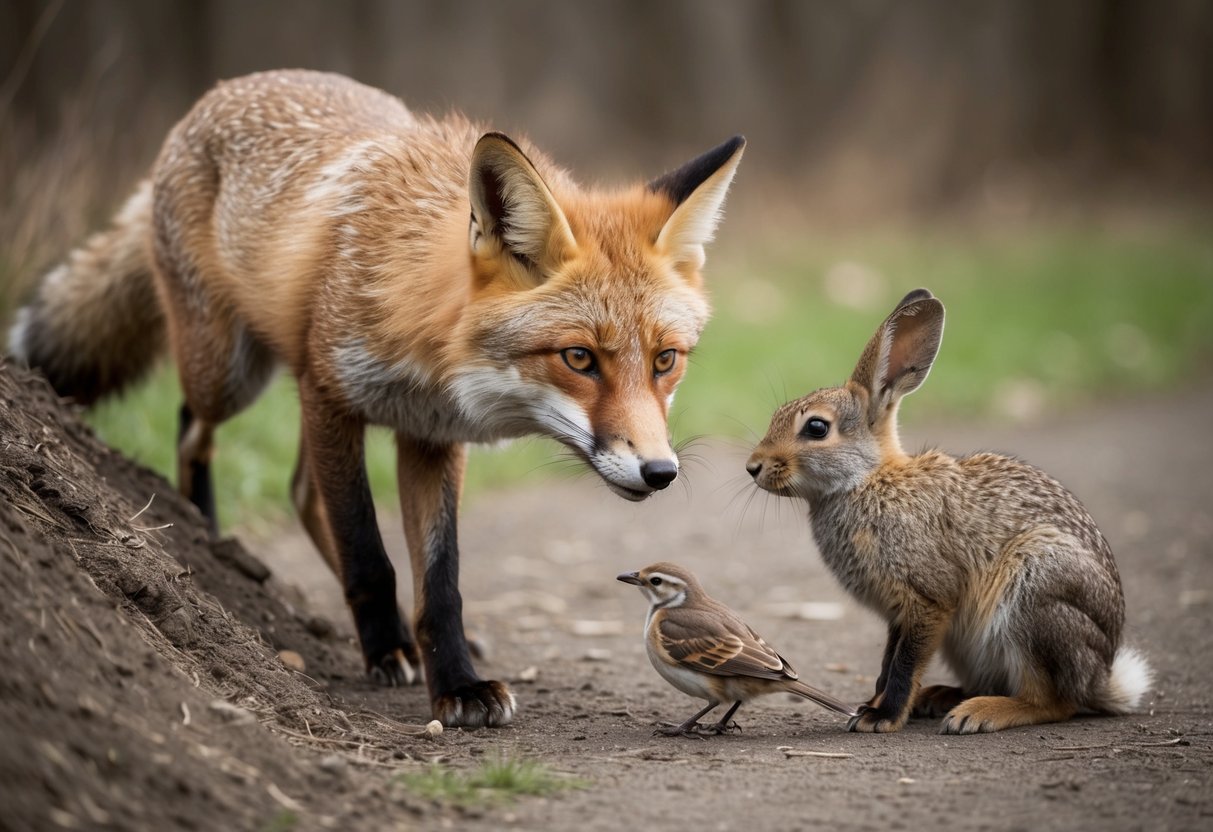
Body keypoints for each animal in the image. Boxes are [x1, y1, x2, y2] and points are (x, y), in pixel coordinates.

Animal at [8, 69, 745, 728]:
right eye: (579, 359)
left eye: (665, 361)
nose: (660, 472)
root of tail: (222, 90)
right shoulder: (330, 395)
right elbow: (368, 552)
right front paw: (388, 650)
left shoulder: (432, 437)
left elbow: (440, 584)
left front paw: (454, 679)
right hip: (227, 370)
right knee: (196, 431)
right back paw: (207, 536)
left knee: (301, 490)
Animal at [746, 288, 1151, 734]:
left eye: (817, 428)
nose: (753, 467)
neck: (866, 480)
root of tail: (1101, 678)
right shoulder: (899, 613)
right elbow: (888, 662)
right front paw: (872, 705)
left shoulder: (928, 600)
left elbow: (905, 664)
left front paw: (881, 716)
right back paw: (941, 697)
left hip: (1037, 595)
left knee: (1053, 701)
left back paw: (978, 713)